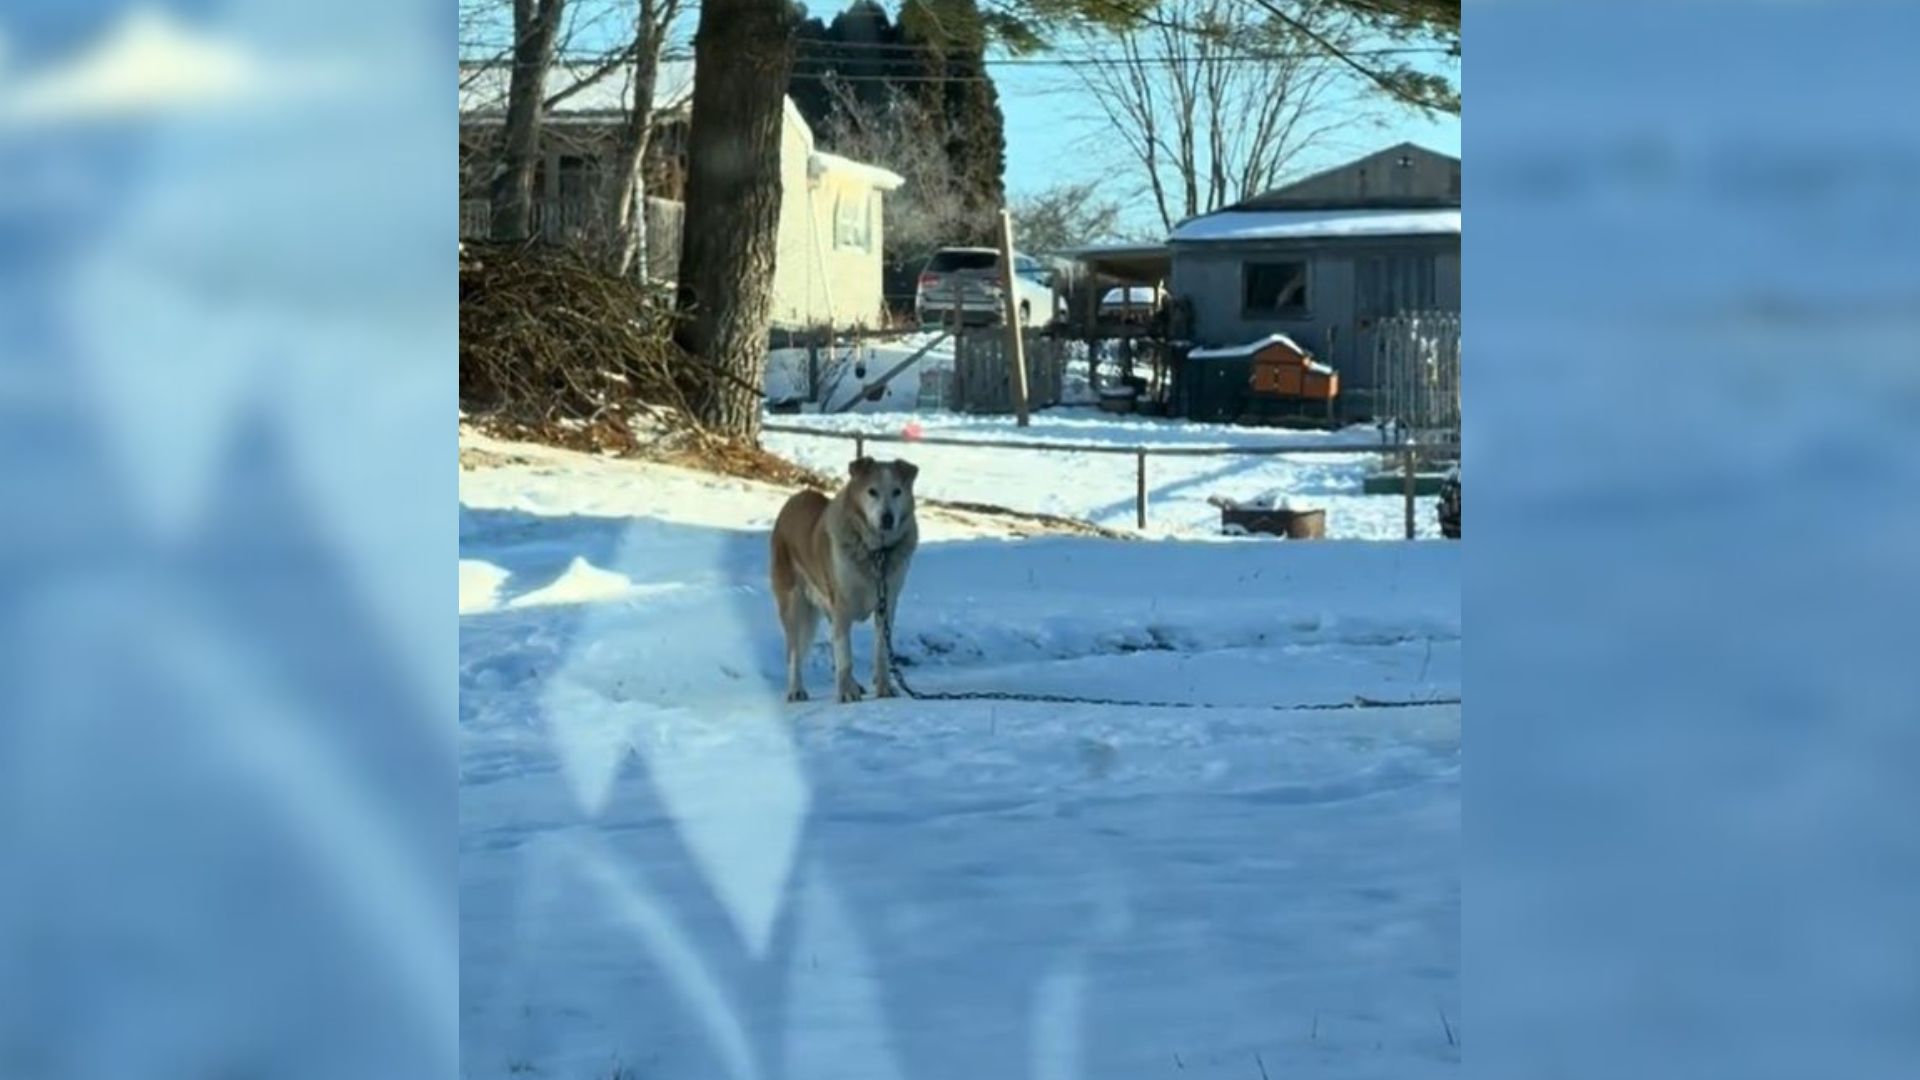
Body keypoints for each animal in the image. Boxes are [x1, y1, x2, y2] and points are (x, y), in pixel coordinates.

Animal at [768, 455, 917, 703]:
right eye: (872, 491)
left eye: (897, 491)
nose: (887, 518)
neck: (876, 552)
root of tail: (794, 499)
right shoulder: (842, 604)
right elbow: (845, 655)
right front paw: (846, 693)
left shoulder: (887, 604)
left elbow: (881, 652)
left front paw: (884, 688)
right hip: (794, 603)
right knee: (794, 651)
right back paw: (796, 690)